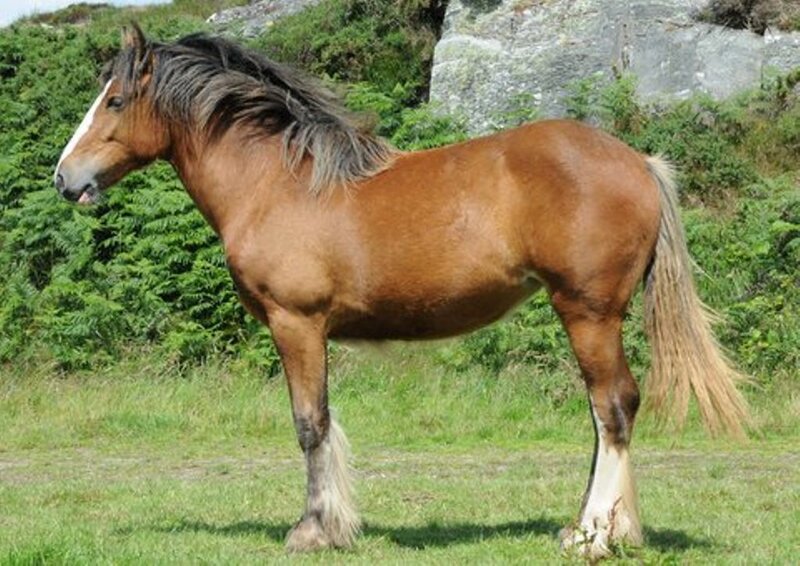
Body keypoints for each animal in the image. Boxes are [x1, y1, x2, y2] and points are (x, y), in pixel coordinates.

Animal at [53, 25, 749, 559]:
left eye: (115, 101)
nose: (65, 178)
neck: (277, 183)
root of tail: (640, 163)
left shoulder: (296, 323)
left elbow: (310, 424)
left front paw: (314, 531)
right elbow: (323, 421)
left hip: (588, 312)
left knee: (614, 408)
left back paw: (592, 536)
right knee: (603, 415)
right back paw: (604, 528)